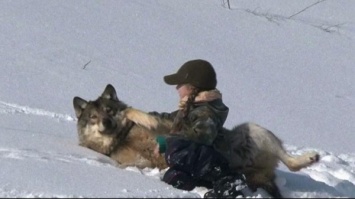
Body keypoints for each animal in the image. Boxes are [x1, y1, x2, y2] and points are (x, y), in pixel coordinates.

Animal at [72, 83, 320, 197]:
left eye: (109, 110)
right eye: (94, 117)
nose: (106, 123)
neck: (123, 136)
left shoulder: (169, 124)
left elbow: (140, 114)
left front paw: (135, 114)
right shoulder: (137, 162)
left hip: (252, 129)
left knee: (291, 163)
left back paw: (310, 157)